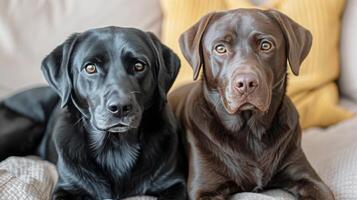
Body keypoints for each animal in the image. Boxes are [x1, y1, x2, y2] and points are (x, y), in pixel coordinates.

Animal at [0, 27, 188, 200]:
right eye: (90, 68)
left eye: (139, 66)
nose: (120, 107)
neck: (115, 147)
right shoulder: (67, 187)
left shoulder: (174, 183)